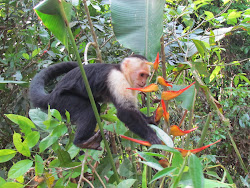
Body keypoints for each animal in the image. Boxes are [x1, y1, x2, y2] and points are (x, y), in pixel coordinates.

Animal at [29, 54, 162, 150]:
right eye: (142, 74)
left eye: (146, 76)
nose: (144, 83)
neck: (122, 73)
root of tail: (52, 94)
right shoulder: (117, 79)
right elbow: (125, 112)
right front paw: (150, 135)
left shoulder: (133, 87)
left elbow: (132, 110)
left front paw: (150, 119)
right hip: (62, 100)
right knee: (89, 110)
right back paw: (82, 142)